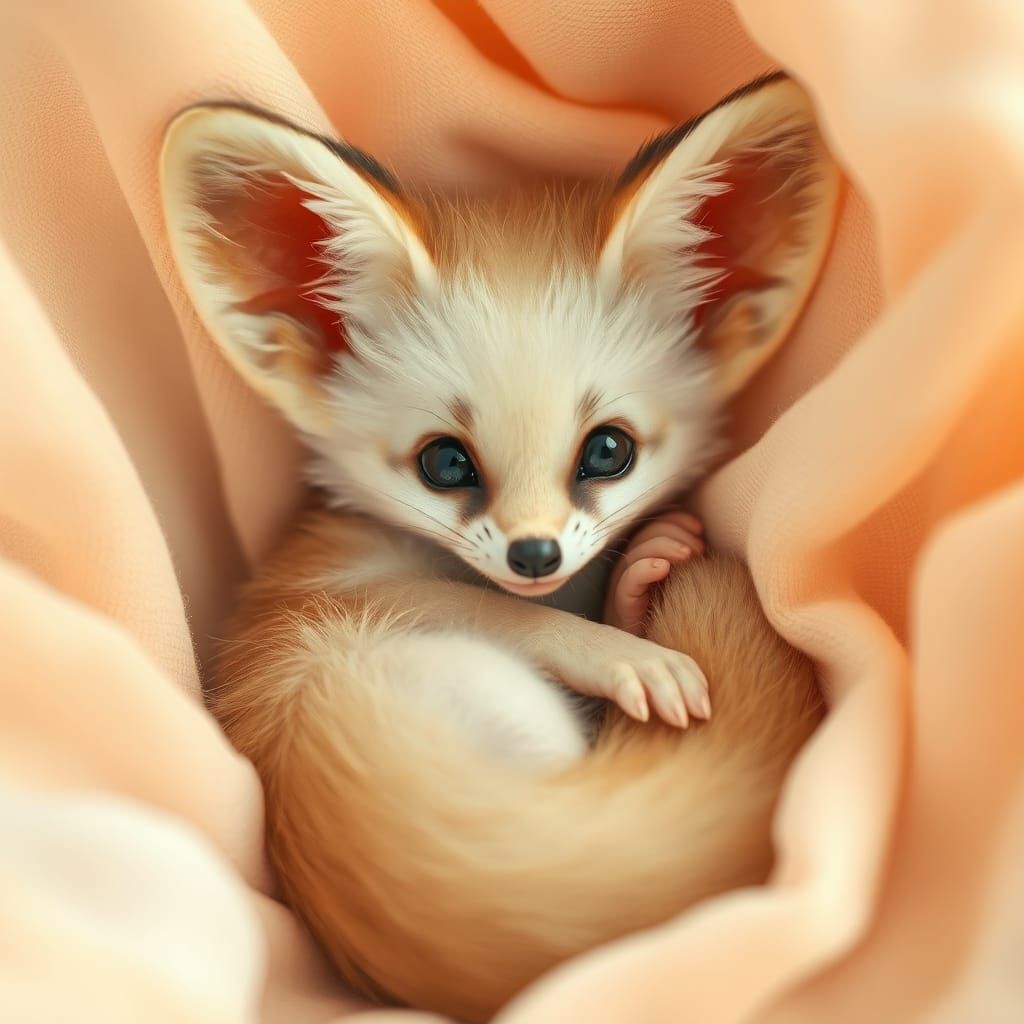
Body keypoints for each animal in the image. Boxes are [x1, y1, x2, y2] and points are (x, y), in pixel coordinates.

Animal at [160, 73, 836, 1022]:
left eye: (608, 450)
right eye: (445, 462)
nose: (535, 556)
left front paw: (628, 586)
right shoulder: (341, 594)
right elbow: (513, 617)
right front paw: (625, 650)